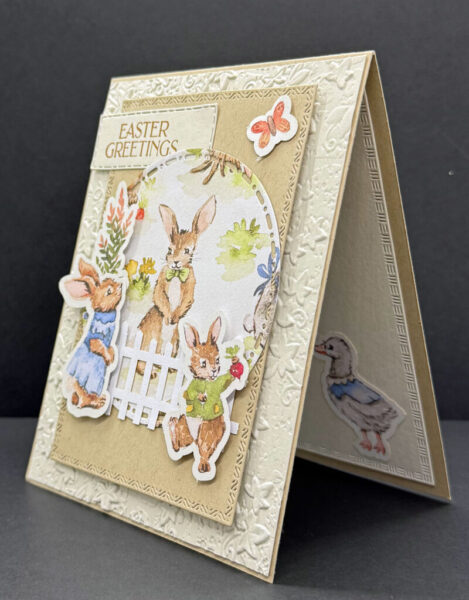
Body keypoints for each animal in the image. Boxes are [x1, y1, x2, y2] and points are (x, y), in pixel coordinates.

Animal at [60, 258, 122, 411]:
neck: (104, 315)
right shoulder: (96, 338)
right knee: (83, 401)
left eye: (110, 280)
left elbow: (111, 350)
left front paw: (111, 357)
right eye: (109, 291)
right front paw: (109, 359)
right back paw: (98, 401)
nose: (120, 285)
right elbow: (98, 345)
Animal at [137, 195, 216, 373]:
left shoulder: (190, 287)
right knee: (142, 361)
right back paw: (151, 371)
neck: (176, 274)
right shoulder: (161, 283)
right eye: (169, 250)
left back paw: (169, 370)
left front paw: (174, 317)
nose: (175, 262)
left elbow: (185, 301)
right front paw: (168, 316)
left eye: (187, 251)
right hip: (150, 339)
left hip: (174, 342)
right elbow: (160, 297)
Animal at [165, 317, 244, 478]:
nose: (214, 371)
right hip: (185, 428)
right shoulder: (191, 387)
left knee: (201, 451)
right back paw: (172, 424)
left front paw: (235, 362)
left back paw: (203, 466)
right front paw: (201, 396)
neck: (207, 381)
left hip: (206, 433)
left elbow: (226, 381)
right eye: (203, 363)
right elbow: (189, 393)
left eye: (218, 360)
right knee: (178, 441)